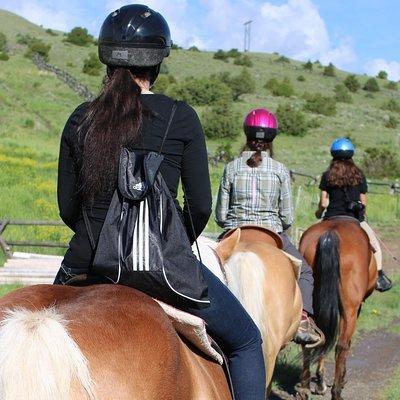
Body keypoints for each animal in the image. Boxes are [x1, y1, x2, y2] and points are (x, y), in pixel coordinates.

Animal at [296, 219, 376, 400]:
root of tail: (330, 234)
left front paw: (320, 382)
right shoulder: (355, 310)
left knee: (311, 339)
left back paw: (306, 388)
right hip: (349, 310)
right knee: (341, 345)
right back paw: (336, 392)